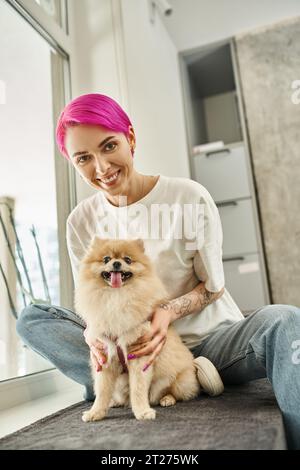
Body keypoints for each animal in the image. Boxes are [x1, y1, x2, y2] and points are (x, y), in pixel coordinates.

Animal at [74, 239, 223, 422]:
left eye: (128, 260)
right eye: (106, 259)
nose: (116, 263)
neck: (116, 297)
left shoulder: (140, 355)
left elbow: (138, 389)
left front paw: (142, 412)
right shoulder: (105, 356)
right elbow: (102, 391)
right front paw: (95, 412)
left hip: (179, 381)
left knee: (176, 392)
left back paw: (167, 399)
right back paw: (115, 402)